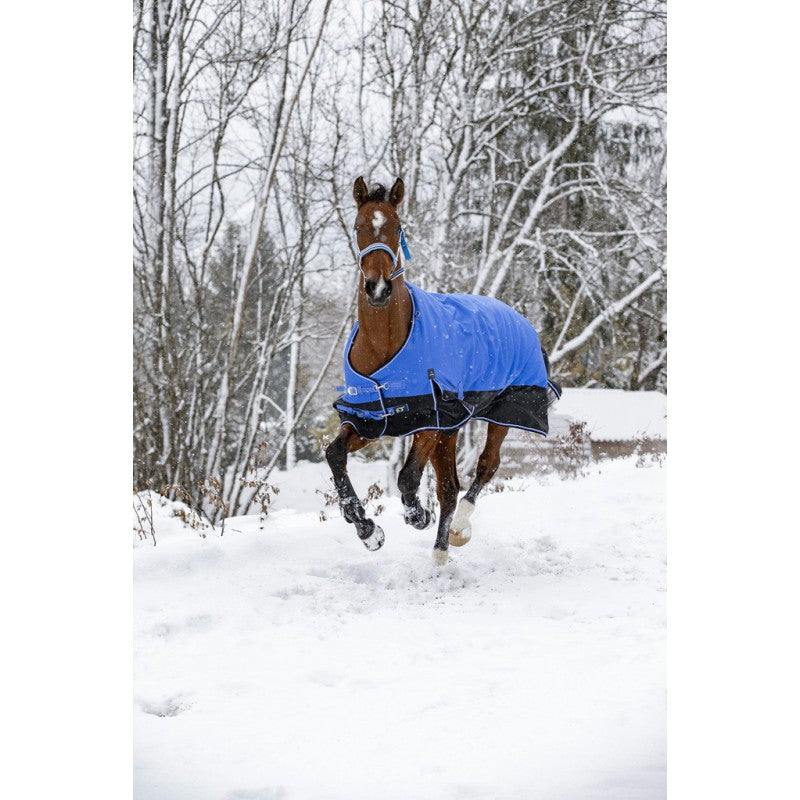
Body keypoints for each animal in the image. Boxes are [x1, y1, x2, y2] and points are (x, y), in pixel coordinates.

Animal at [325, 176, 560, 566]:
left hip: (501, 413)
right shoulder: (372, 418)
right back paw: (439, 553)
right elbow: (335, 454)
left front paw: (418, 515)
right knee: (450, 487)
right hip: (451, 431)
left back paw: (459, 529)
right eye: (358, 227)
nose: (377, 288)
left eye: (397, 226)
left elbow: (407, 478)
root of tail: (519, 317)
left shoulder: (431, 418)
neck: (384, 343)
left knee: (485, 467)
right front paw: (367, 529)